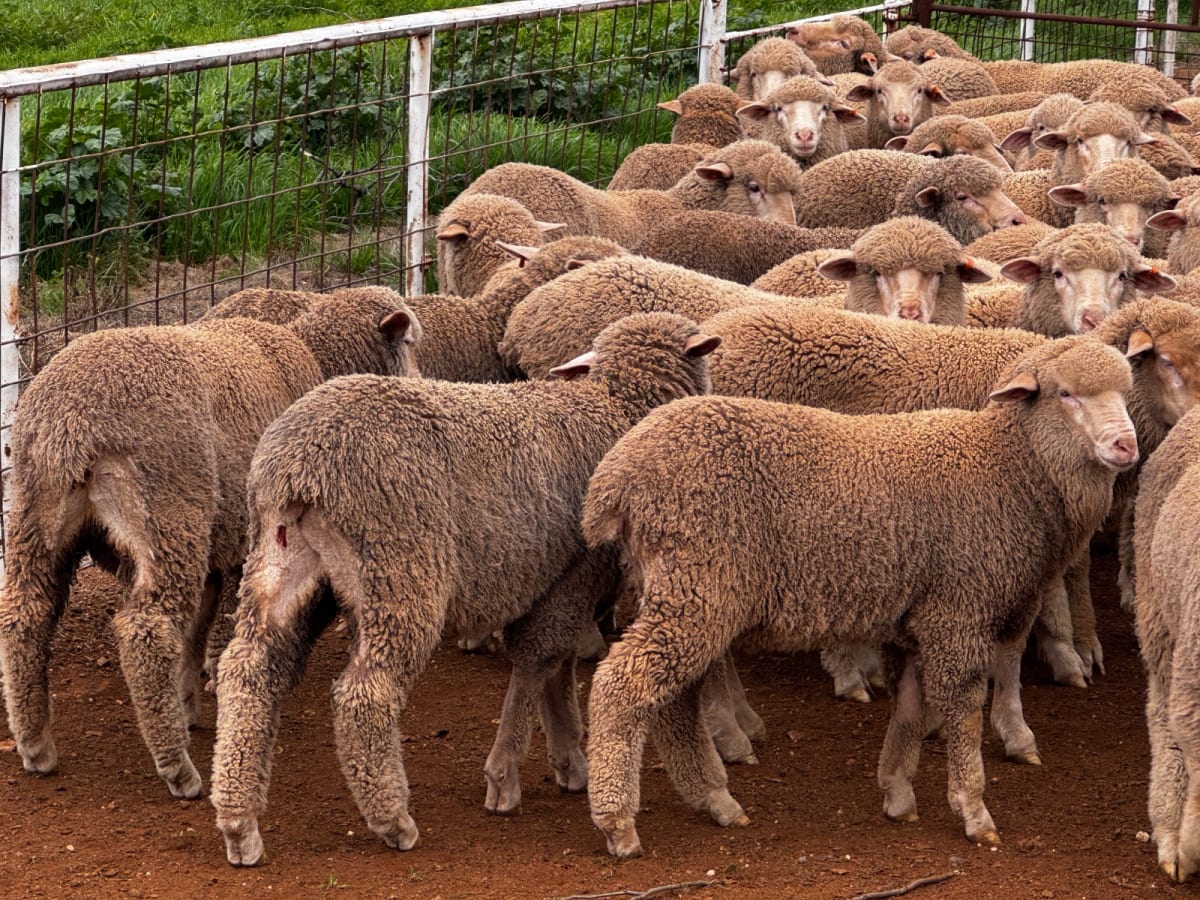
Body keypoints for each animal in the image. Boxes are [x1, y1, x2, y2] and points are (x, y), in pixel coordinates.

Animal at [0, 291, 420, 799]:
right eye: (411, 343)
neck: (316, 359)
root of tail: (70, 419)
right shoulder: (246, 537)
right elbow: (218, 622)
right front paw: (208, 685)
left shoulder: (217, 545)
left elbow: (198, 625)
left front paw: (187, 699)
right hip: (170, 511)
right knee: (146, 630)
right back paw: (176, 769)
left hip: (35, 513)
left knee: (25, 614)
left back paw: (35, 744)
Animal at [208, 312, 721, 866]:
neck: (614, 407)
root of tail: (297, 467)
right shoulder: (573, 574)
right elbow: (538, 663)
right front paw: (507, 777)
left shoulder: (554, 581)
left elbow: (557, 667)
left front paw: (567, 758)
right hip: (400, 568)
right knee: (365, 695)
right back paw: (393, 821)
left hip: (285, 568)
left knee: (250, 672)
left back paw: (239, 823)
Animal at [581, 336, 1138, 856]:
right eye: (1065, 394)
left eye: (1126, 393)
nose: (1126, 446)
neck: (1009, 467)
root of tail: (616, 476)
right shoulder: (958, 611)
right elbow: (961, 708)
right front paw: (973, 808)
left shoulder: (921, 618)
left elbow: (911, 709)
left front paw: (897, 792)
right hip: (700, 587)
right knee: (622, 685)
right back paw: (618, 821)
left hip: (681, 590)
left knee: (673, 701)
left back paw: (715, 799)